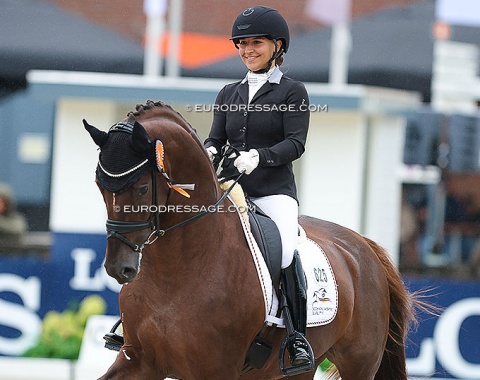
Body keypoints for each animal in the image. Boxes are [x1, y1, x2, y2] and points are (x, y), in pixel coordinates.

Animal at [85, 99, 416, 378]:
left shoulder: (216, 370)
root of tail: (362, 245)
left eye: (142, 189)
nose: (119, 268)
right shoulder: (139, 361)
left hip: (359, 363)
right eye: (99, 186)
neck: (178, 268)